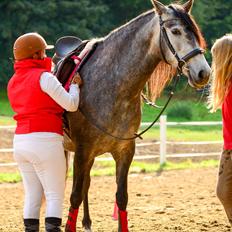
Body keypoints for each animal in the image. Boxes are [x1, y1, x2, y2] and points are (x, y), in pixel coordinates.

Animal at [63, 0, 210, 231]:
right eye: (176, 31)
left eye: (195, 32)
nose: (204, 73)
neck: (112, 85)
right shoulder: (82, 150)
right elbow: (74, 196)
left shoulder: (124, 151)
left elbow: (121, 197)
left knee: (86, 182)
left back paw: (87, 222)